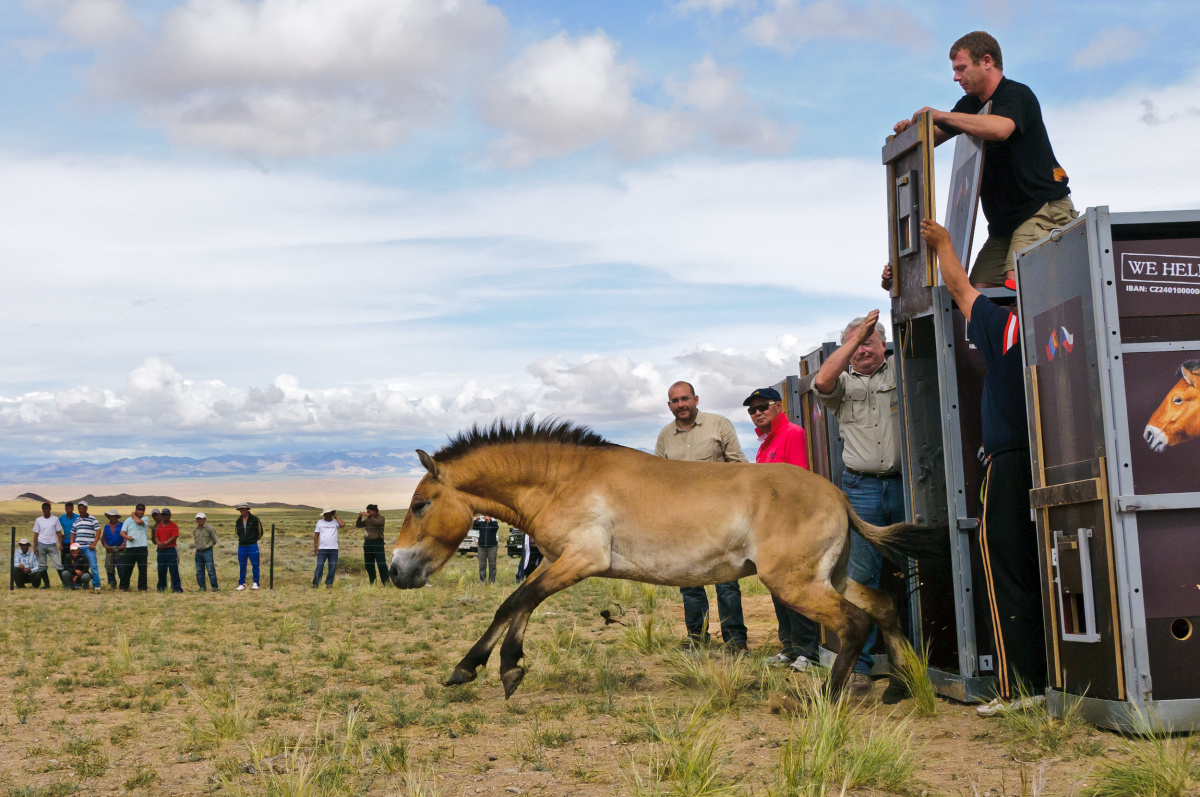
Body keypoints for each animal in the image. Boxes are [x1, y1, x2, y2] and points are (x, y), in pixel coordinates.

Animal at [393, 417, 945, 696]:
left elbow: (516, 603)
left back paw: (830, 696)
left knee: (854, 623)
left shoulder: (580, 560)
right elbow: (515, 605)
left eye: (420, 505)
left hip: (796, 584)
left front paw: (493, 668)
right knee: (883, 607)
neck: (564, 478)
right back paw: (904, 685)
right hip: (828, 577)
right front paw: (489, 667)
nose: (397, 570)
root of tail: (838, 497)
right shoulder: (555, 561)